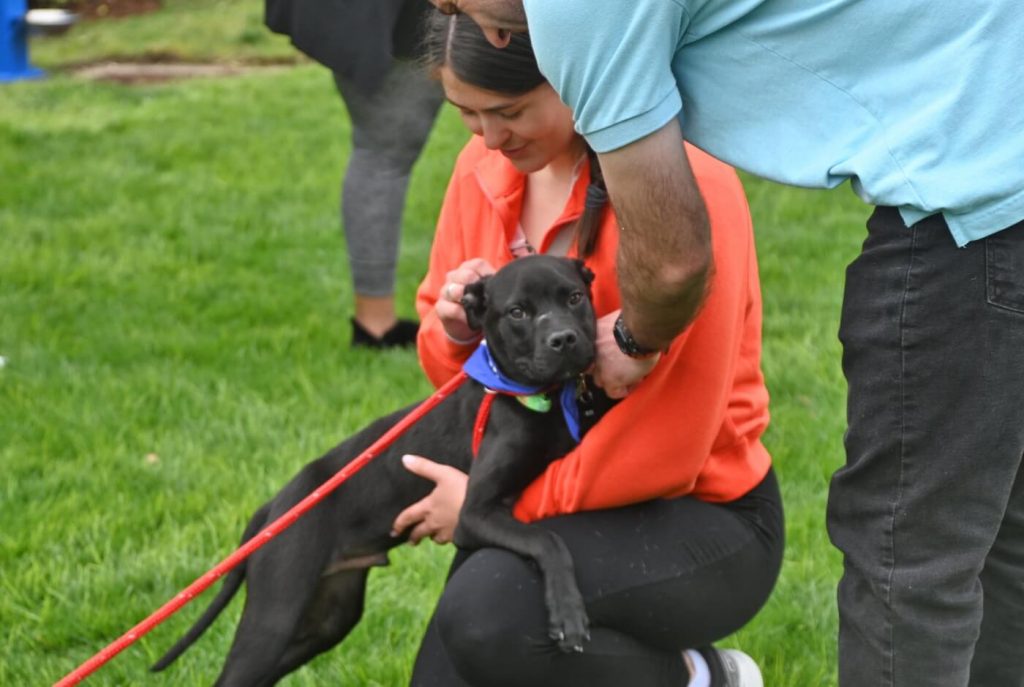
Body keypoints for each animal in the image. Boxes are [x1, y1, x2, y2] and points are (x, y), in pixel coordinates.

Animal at [151, 256, 606, 687]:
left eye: (573, 298)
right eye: (517, 312)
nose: (564, 339)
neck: (537, 396)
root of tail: (274, 505)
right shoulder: (474, 512)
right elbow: (547, 540)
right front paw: (568, 615)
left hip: (326, 618)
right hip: (276, 614)